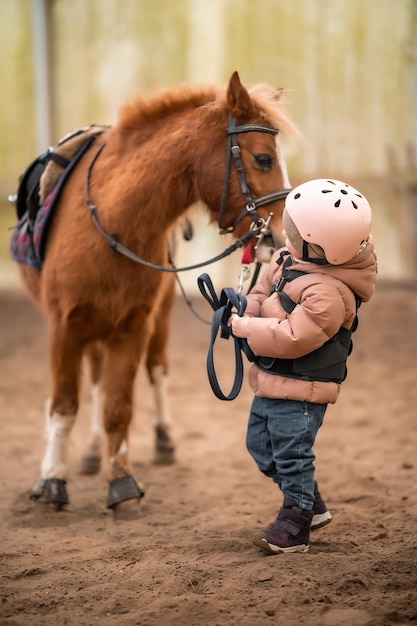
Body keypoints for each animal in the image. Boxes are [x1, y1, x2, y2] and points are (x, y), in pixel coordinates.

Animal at [14, 70, 294, 510]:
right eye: (263, 158)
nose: (279, 239)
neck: (113, 224)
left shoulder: (134, 326)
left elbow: (119, 406)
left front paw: (121, 480)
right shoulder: (64, 327)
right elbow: (64, 405)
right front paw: (52, 480)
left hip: (157, 316)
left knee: (156, 369)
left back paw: (161, 441)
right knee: (95, 380)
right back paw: (91, 451)